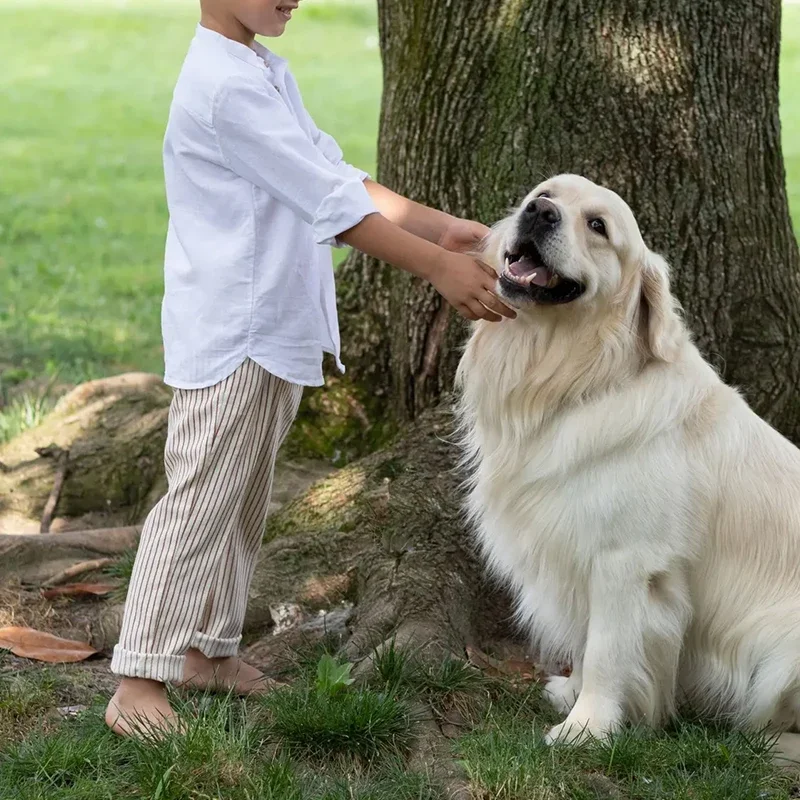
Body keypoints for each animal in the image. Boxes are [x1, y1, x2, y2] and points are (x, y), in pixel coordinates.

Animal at [454, 172, 800, 760]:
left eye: (598, 225)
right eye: (543, 192)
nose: (539, 213)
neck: (574, 382)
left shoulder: (626, 560)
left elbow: (606, 649)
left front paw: (587, 727)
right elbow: (584, 637)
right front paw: (571, 693)